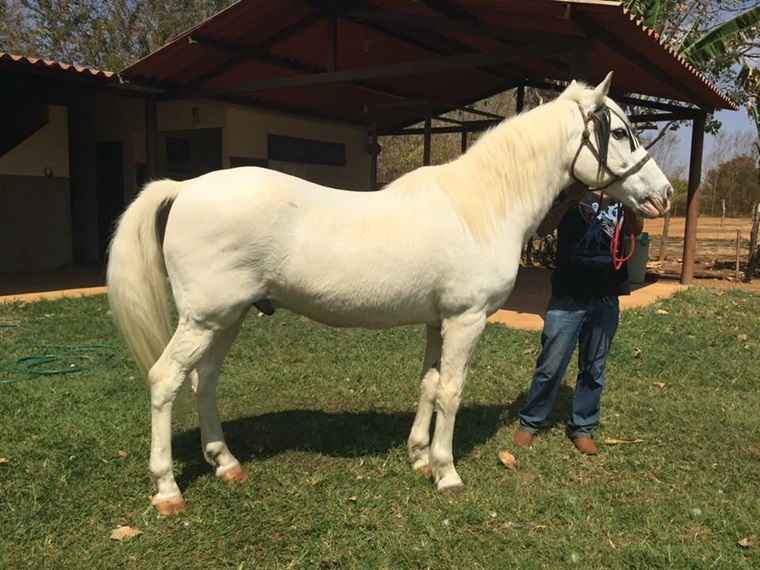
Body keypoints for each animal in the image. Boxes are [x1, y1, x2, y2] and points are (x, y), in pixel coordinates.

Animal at [107, 73, 672, 512]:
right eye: (621, 132)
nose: (664, 195)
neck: (479, 206)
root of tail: (185, 188)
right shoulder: (466, 319)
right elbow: (451, 390)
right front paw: (447, 473)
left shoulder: (437, 319)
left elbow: (428, 383)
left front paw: (419, 456)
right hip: (204, 319)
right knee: (164, 380)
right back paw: (167, 490)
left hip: (227, 318)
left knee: (203, 382)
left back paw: (226, 464)